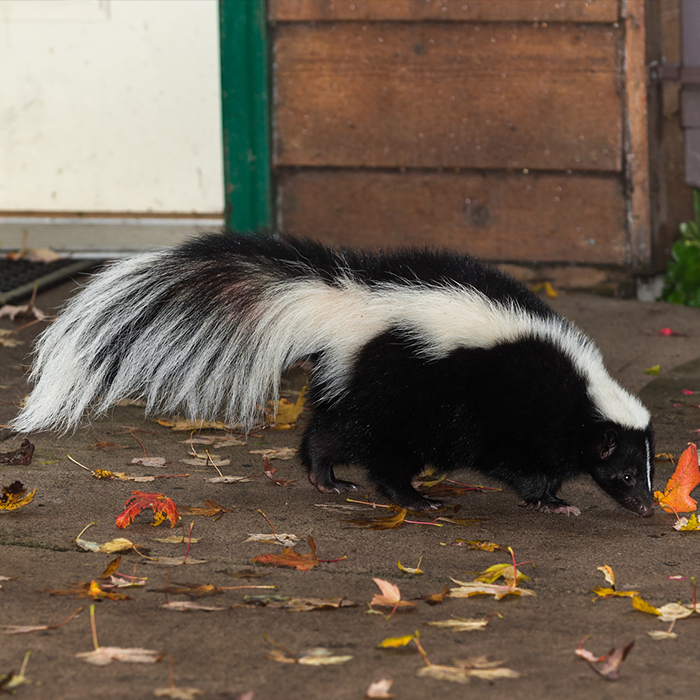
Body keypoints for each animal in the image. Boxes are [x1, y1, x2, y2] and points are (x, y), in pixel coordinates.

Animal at [12, 232, 656, 516]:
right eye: (625, 473)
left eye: (650, 471)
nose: (650, 508)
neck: (582, 392)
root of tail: (348, 303)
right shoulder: (517, 412)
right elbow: (521, 466)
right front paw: (553, 501)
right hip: (400, 390)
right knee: (373, 447)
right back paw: (401, 494)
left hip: (368, 382)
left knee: (331, 429)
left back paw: (334, 480)